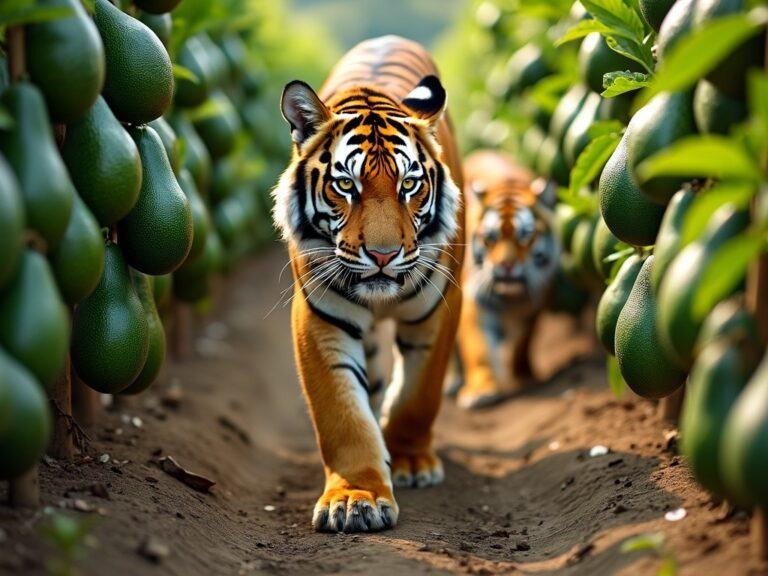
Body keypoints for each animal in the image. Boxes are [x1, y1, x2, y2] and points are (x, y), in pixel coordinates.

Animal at [272, 35, 462, 532]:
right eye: (346, 185)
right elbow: (343, 416)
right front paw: (355, 498)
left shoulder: (440, 307)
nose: (382, 255)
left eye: (409, 185)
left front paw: (412, 461)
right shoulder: (320, 317)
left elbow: (419, 395)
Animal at [452, 148, 560, 410]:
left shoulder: (534, 301)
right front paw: (481, 392)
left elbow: (523, 342)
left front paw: (525, 376)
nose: (506, 265)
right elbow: (478, 349)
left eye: (525, 236)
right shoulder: (475, 300)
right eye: (491, 237)